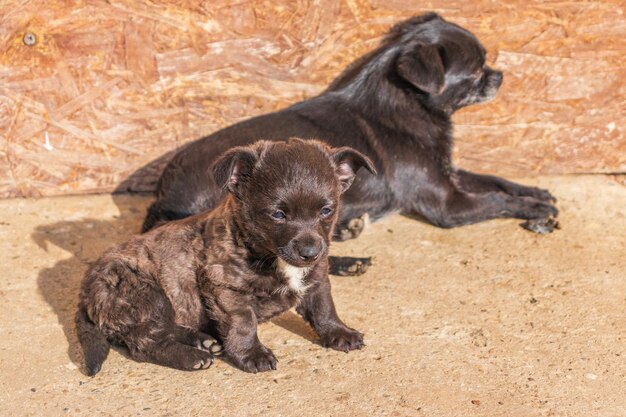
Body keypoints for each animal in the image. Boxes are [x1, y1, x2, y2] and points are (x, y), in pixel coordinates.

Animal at [75, 139, 372, 374]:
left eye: (326, 210)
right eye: (278, 214)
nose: (310, 253)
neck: (265, 252)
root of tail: (86, 290)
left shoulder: (316, 279)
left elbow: (324, 308)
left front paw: (339, 332)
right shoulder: (227, 289)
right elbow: (243, 323)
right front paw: (252, 354)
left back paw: (201, 340)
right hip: (148, 296)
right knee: (146, 344)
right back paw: (192, 356)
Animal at [141, 12, 556, 237]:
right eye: (475, 72)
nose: (500, 76)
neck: (409, 104)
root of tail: (164, 192)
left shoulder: (448, 175)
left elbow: (494, 180)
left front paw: (535, 191)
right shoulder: (448, 204)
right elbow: (495, 201)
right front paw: (537, 210)